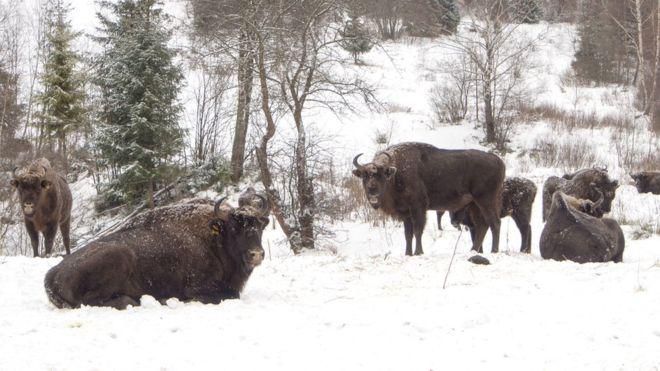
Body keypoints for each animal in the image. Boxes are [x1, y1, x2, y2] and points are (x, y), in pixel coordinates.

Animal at [43, 193, 268, 310]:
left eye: (259, 226)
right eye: (234, 228)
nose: (256, 254)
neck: (214, 239)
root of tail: (52, 274)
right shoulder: (198, 288)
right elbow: (230, 295)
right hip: (118, 257)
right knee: (91, 301)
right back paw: (139, 301)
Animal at [356, 142, 506, 256]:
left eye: (381, 175)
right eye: (364, 175)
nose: (372, 190)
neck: (396, 172)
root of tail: (499, 161)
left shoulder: (418, 208)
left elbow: (417, 231)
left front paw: (418, 252)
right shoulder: (406, 213)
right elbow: (408, 234)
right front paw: (407, 253)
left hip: (486, 200)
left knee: (494, 223)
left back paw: (493, 251)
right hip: (475, 204)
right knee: (482, 225)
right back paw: (474, 251)